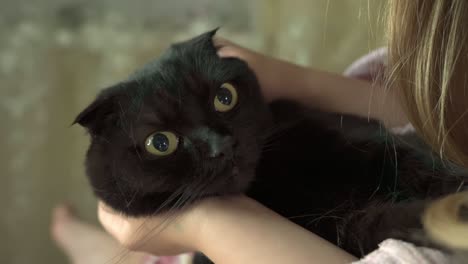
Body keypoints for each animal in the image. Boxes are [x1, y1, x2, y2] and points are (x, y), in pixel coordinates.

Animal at [75, 29, 466, 262]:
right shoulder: (345, 226)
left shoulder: (366, 140)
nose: (220, 145)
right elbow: (394, 222)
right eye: (160, 142)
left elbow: (418, 163)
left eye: (224, 97)